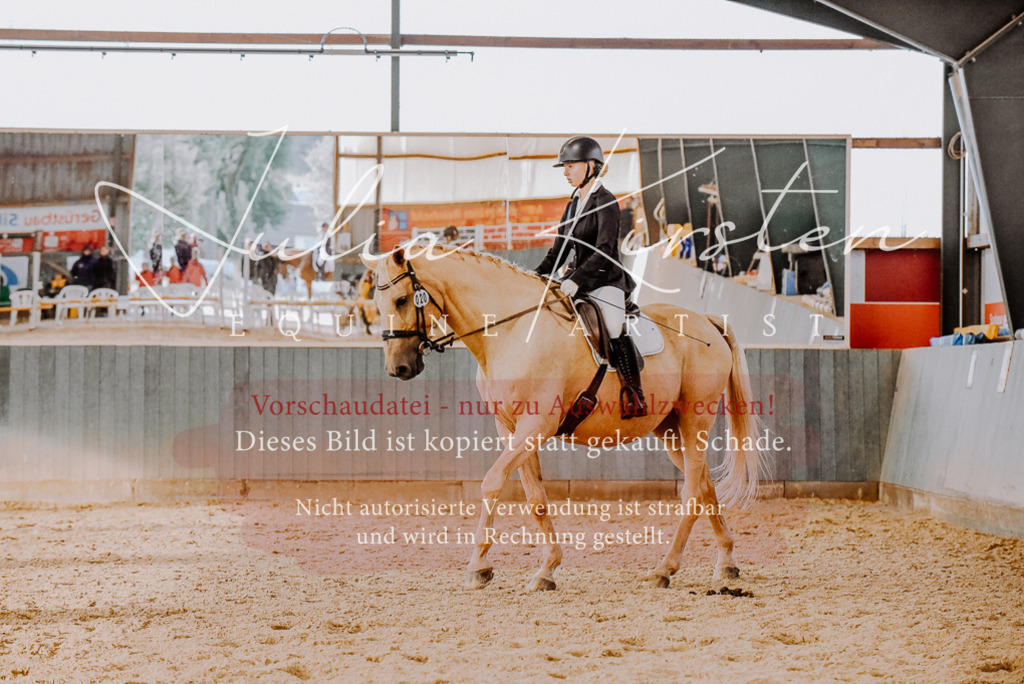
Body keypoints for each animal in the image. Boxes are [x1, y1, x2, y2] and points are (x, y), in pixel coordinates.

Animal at [361, 244, 768, 592]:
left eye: (401, 299)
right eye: (377, 303)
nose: (398, 368)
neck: (511, 332)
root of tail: (707, 321)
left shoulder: (535, 426)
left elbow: (492, 482)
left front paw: (479, 567)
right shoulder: (511, 428)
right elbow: (535, 498)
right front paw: (547, 569)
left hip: (694, 422)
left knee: (692, 494)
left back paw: (664, 570)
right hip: (669, 429)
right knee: (705, 487)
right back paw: (726, 562)